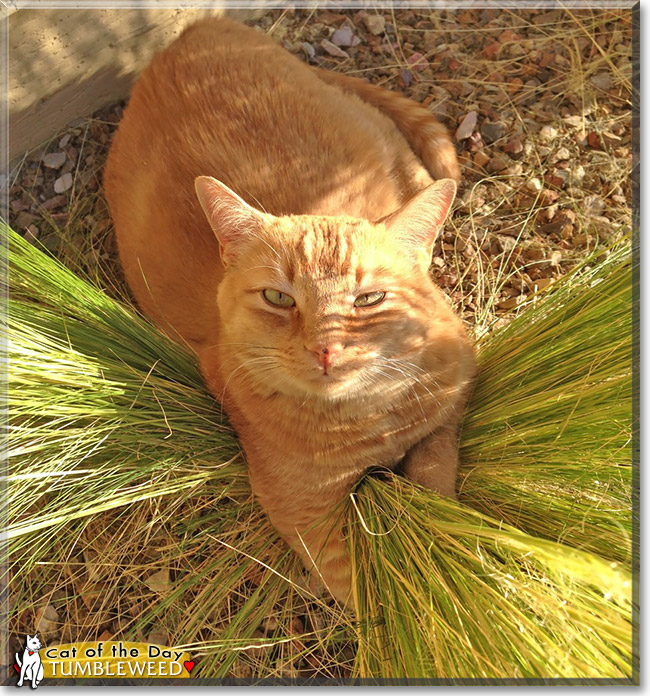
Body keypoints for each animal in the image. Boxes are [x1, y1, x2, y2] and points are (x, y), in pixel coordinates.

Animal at [104, 16, 474, 604]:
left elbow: (437, 480)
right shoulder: (306, 512)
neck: (369, 421)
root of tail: (197, 28)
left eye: (368, 299)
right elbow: (365, 587)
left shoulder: (450, 409)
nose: (325, 349)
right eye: (279, 298)